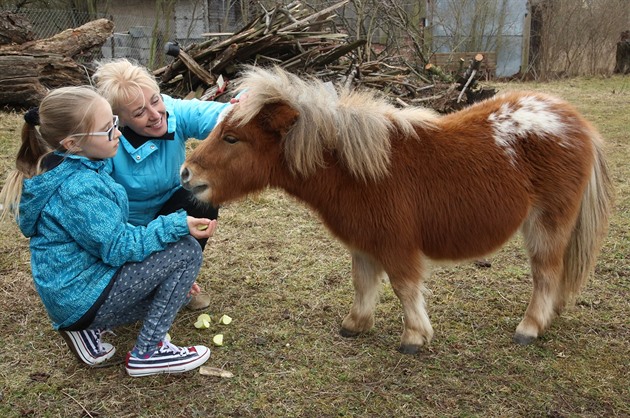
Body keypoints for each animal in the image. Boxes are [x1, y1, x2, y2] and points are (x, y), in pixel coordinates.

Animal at [180, 67, 616, 354]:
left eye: (232, 138)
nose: (187, 174)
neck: (356, 170)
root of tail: (575, 120)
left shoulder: (396, 245)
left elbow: (405, 287)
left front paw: (414, 337)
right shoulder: (363, 242)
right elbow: (363, 283)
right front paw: (355, 325)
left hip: (546, 224)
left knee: (547, 273)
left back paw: (529, 328)